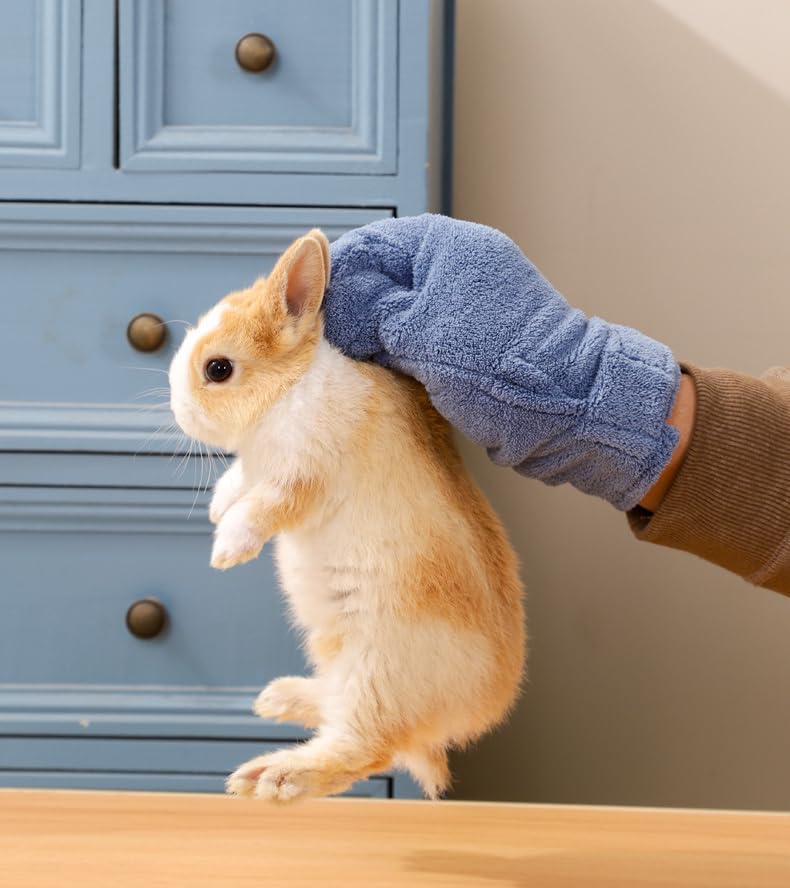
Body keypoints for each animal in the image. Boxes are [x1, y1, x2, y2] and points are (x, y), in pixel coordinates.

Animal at [168, 228, 525, 801]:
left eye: (217, 369)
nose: (178, 411)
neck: (288, 393)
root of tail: (454, 723)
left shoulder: (300, 477)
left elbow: (264, 508)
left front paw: (226, 549)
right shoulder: (259, 467)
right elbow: (240, 482)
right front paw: (218, 507)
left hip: (375, 673)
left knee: (362, 748)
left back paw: (274, 776)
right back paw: (276, 700)